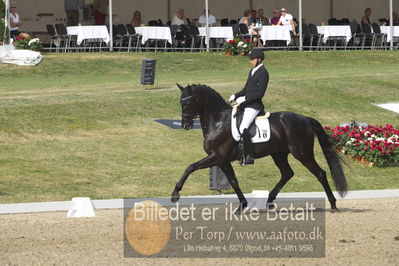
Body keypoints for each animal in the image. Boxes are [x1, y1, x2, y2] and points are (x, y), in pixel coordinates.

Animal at [173, 83, 348, 212]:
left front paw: (175, 194)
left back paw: (333, 204)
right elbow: (234, 181)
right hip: (279, 154)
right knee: (287, 173)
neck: (218, 122)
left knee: (320, 173)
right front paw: (242, 206)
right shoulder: (223, 160)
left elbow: (190, 167)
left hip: (302, 153)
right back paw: (269, 201)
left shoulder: (216, 156)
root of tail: (305, 118)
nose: (185, 125)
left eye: (188, 102)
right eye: (180, 102)